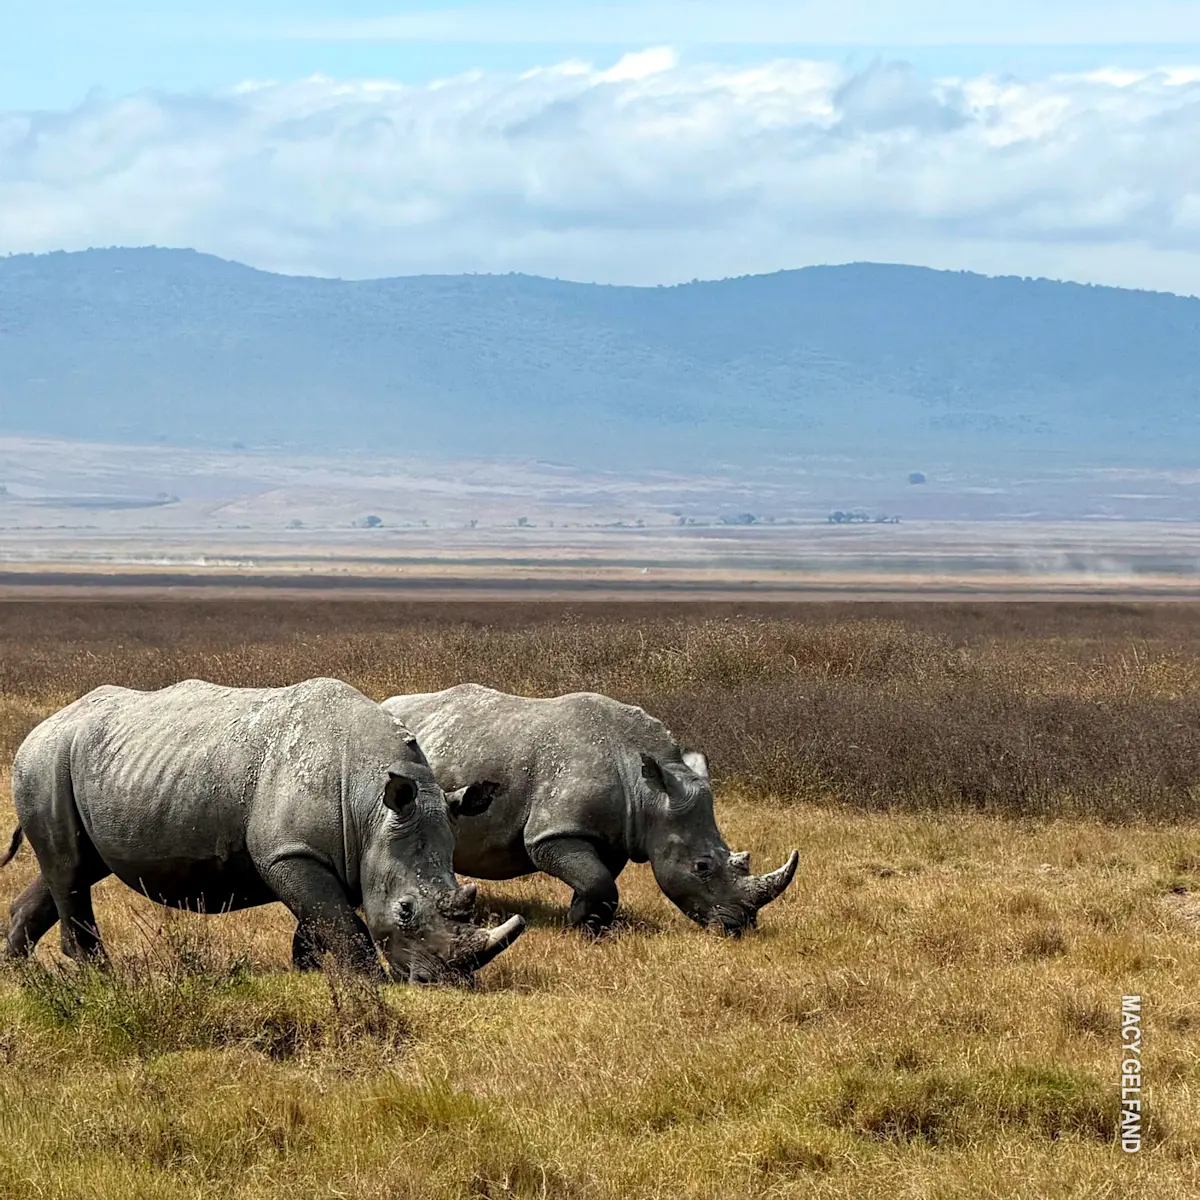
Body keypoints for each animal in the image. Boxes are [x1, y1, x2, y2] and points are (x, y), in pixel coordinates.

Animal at [2, 678, 525, 983]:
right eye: (405, 911)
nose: (447, 983)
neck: (370, 806)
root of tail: (43, 726)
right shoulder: (290, 851)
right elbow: (340, 920)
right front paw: (367, 983)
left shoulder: (341, 851)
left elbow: (320, 919)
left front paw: (306, 972)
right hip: (45, 759)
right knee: (69, 868)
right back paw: (101, 977)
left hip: (83, 762)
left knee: (72, 868)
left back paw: (14, 970)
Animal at [380, 684, 798, 935]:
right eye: (702, 867)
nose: (739, 926)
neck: (648, 790)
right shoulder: (554, 832)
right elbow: (598, 880)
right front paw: (581, 926)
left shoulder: (617, 834)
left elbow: (601, 881)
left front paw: (585, 922)